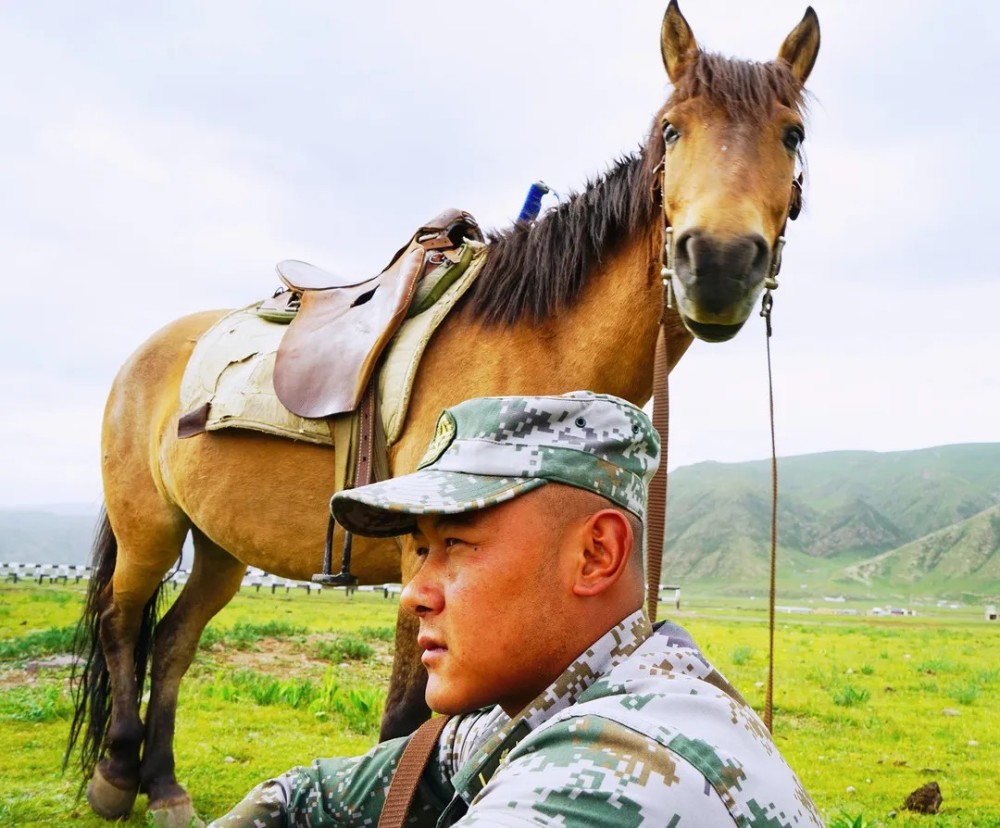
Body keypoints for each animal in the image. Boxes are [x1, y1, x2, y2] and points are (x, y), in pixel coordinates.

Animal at [68, 3, 820, 824]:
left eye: (792, 134)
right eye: (672, 129)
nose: (717, 263)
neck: (537, 337)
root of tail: (146, 353)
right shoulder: (420, 556)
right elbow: (406, 721)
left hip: (218, 544)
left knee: (173, 640)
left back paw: (164, 784)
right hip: (150, 527)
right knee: (121, 623)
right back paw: (116, 774)